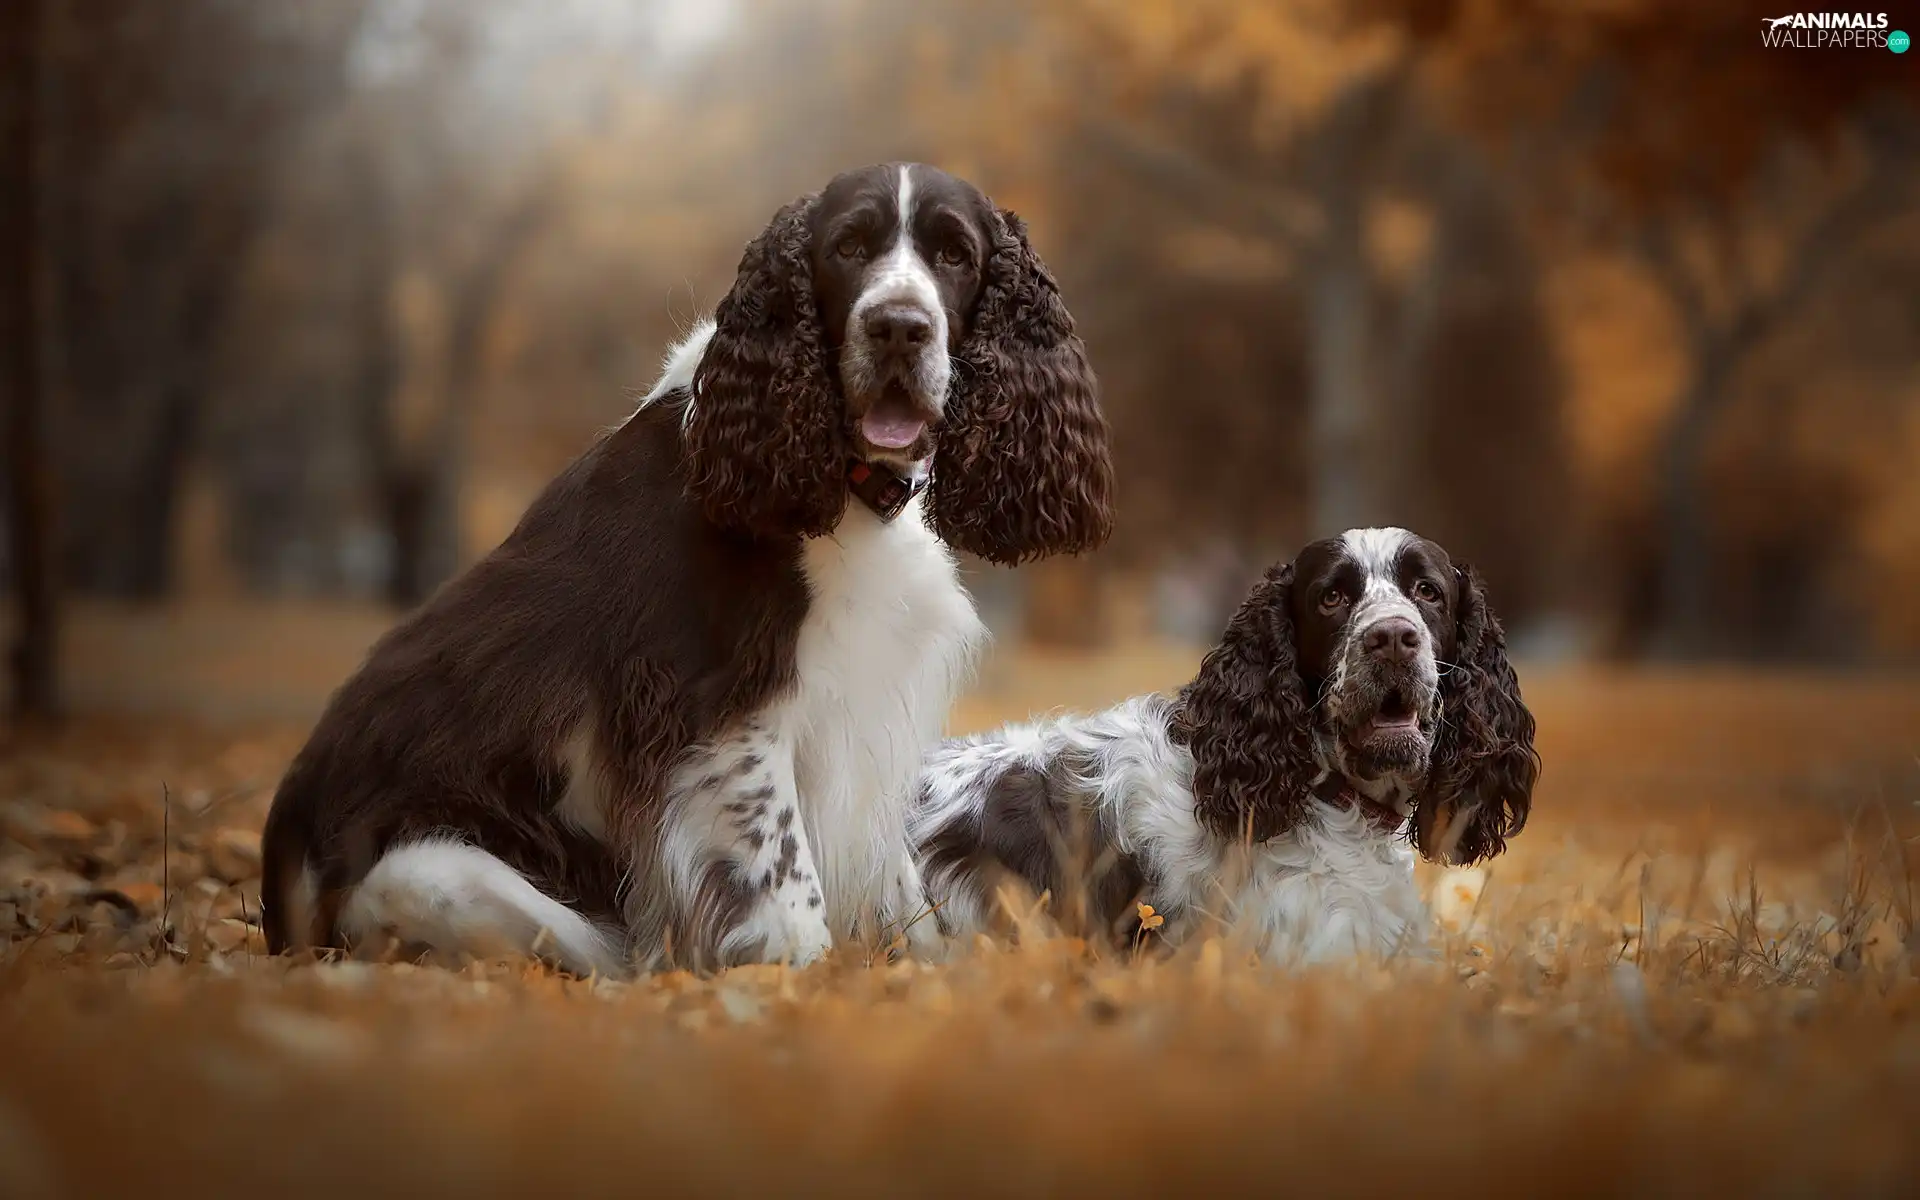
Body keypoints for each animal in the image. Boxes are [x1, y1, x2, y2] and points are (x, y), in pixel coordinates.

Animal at [263, 161, 1121, 975]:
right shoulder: (725, 716)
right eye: (848, 247)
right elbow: (786, 881)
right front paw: (806, 985)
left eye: (954, 255)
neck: (843, 487)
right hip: (441, 876)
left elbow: (906, 895)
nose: (899, 327)